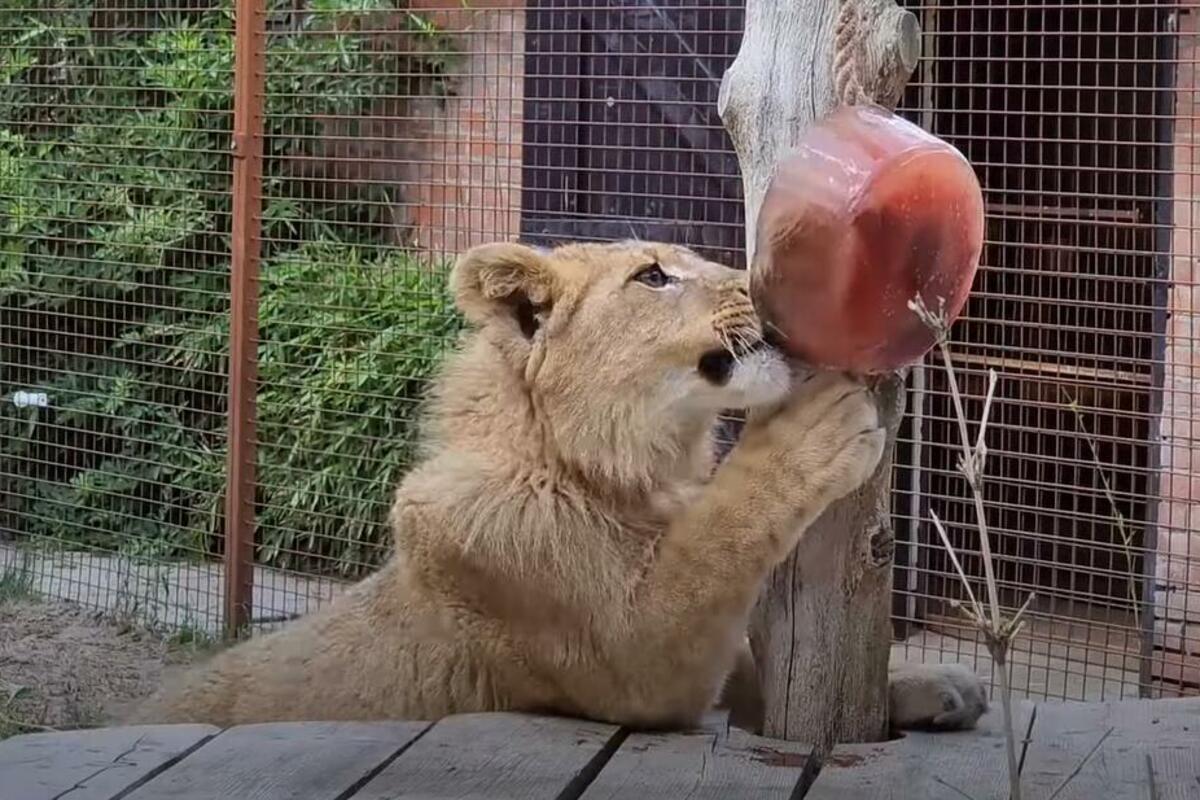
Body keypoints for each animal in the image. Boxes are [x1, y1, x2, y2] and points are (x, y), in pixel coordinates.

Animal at [128, 240, 986, 735]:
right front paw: (809, 429)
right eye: (653, 277)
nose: (770, 288)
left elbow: (753, 668)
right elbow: (712, 547)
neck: (638, 475)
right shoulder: (635, 662)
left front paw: (925, 684)